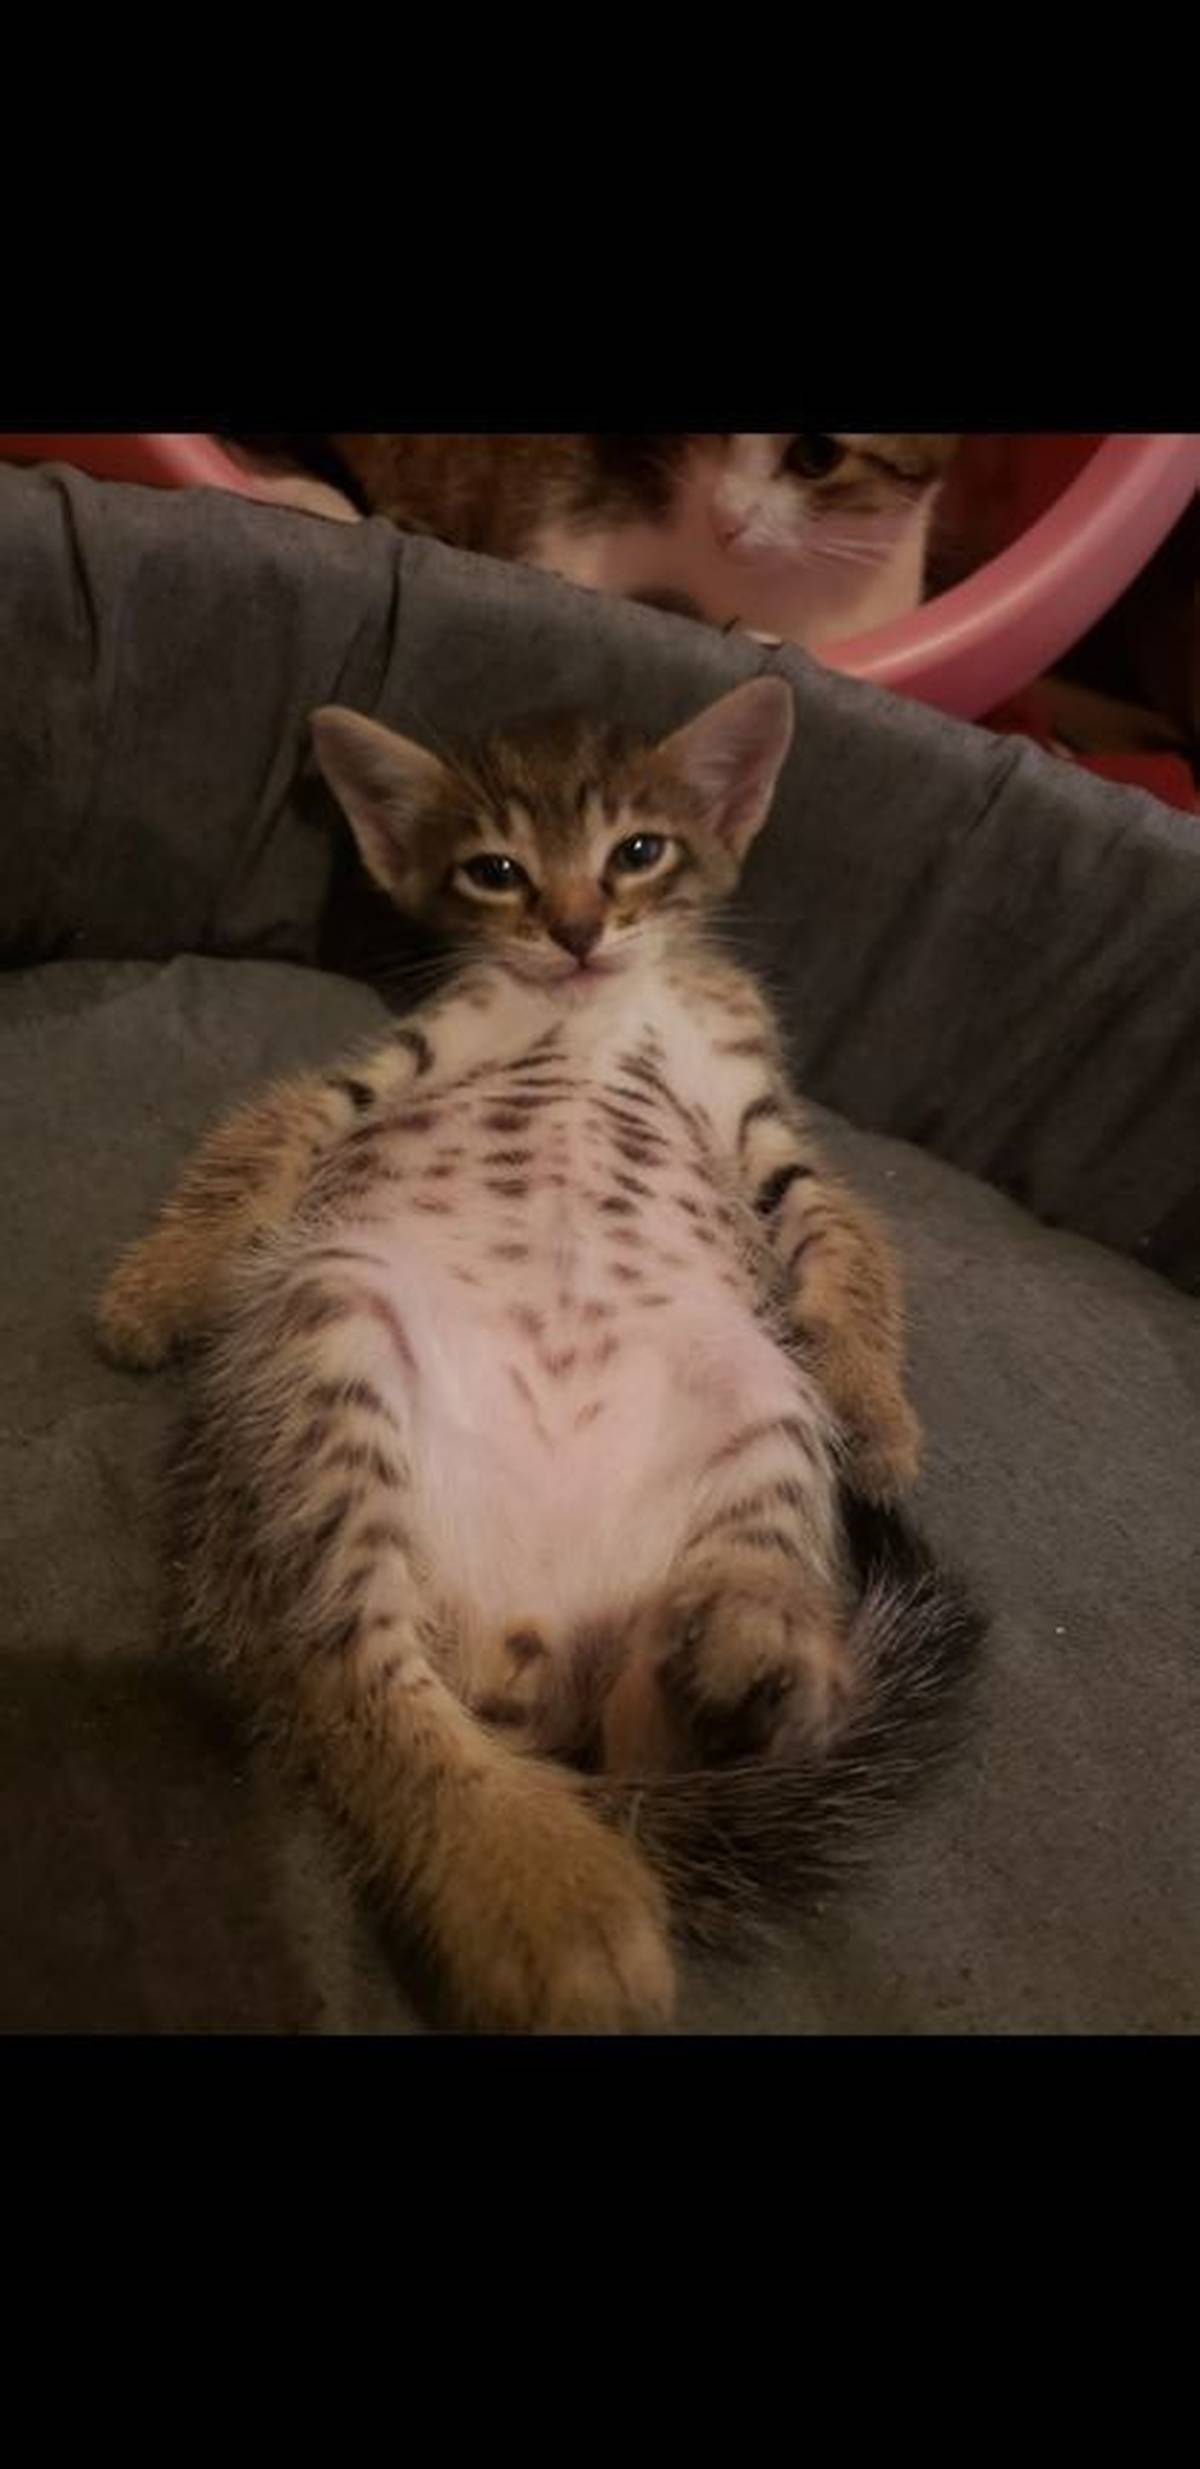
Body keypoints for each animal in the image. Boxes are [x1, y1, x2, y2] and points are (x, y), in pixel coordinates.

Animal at [97, 679, 982, 2033]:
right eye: (496, 871)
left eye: (639, 851)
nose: (574, 928)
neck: (591, 1000)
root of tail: (524, 1646)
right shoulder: (406, 1056)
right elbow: (272, 1133)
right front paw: (158, 1287)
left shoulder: (754, 1107)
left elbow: (841, 1237)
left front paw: (879, 1415)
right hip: (330, 1335)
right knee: (360, 1680)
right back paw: (541, 1890)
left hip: (756, 1386)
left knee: (641, 1737)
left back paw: (746, 1659)